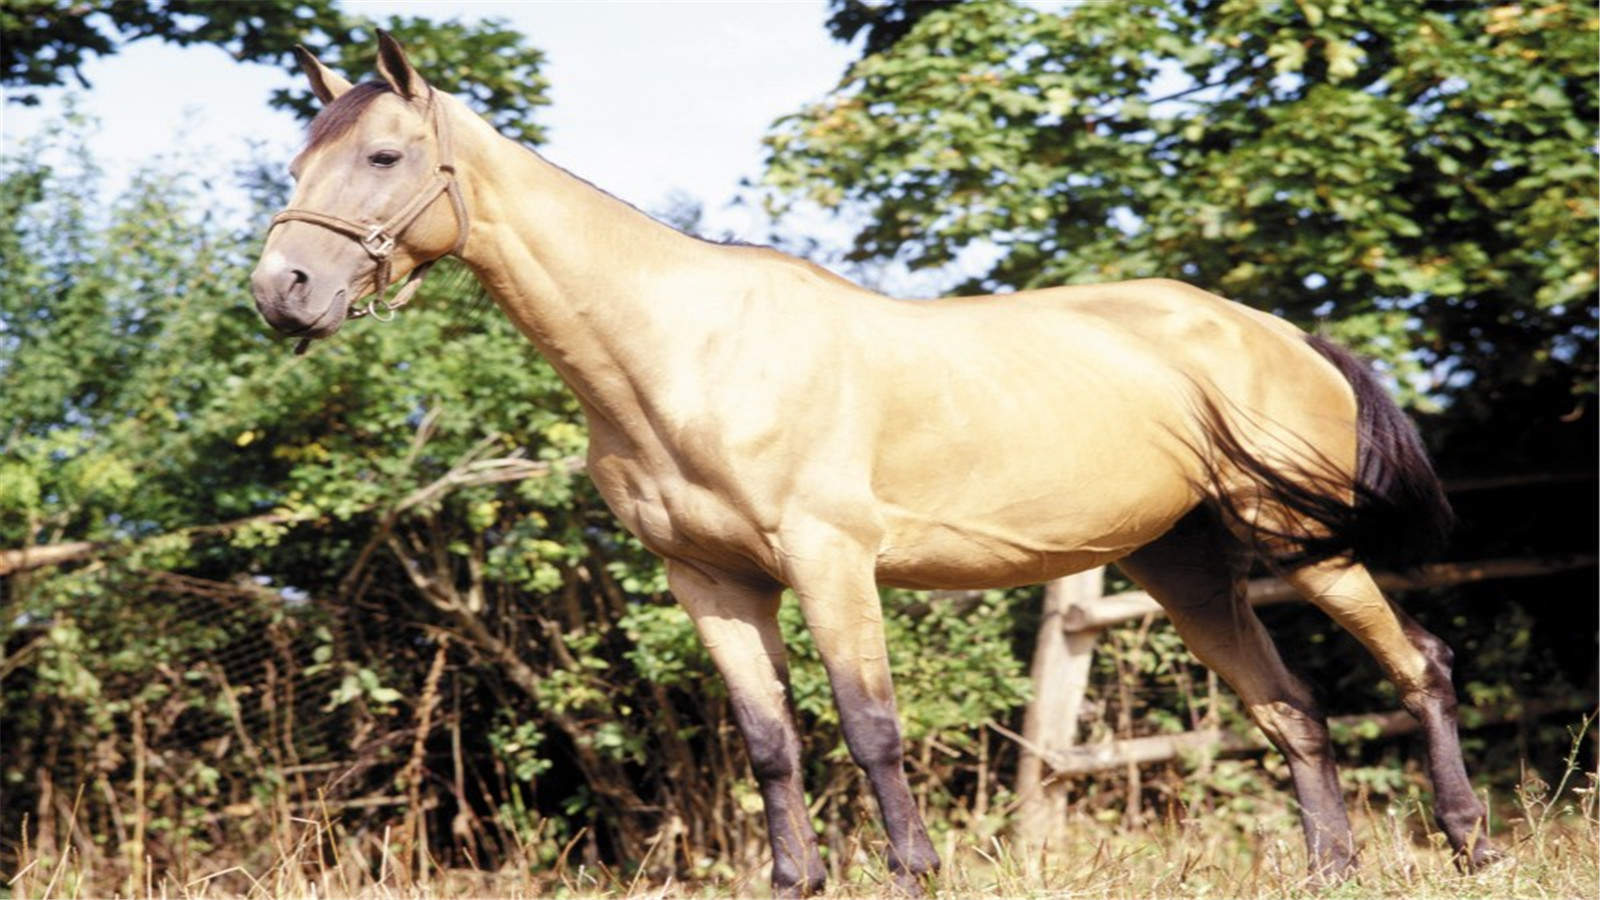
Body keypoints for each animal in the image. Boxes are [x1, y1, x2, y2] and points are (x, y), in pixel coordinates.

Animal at [250, 33, 1496, 895]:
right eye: (298, 159)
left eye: (384, 154)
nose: (282, 294)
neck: (687, 350)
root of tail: (1282, 336)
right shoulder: (711, 582)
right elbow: (770, 744)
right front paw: (791, 880)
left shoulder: (829, 560)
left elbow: (869, 727)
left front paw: (913, 872)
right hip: (1182, 566)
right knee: (1291, 713)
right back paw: (1330, 868)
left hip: (1304, 546)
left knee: (1419, 666)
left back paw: (1469, 844)